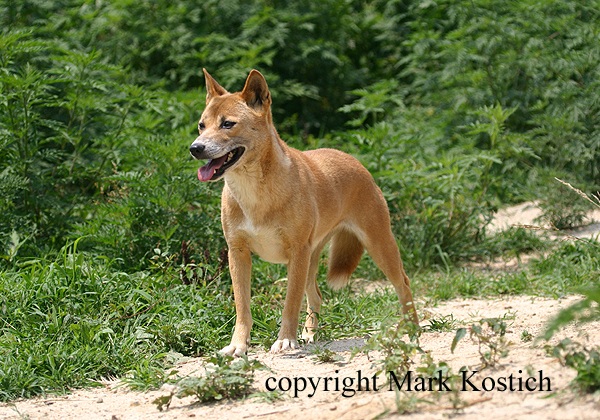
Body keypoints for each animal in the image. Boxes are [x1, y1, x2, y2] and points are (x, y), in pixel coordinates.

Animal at [189, 68, 418, 354]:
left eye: (228, 124)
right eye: (202, 125)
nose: (195, 148)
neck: (255, 192)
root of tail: (354, 161)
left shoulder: (296, 253)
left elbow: (291, 303)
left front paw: (285, 340)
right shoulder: (237, 253)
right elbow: (242, 308)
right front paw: (238, 345)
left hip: (378, 245)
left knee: (404, 284)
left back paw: (413, 330)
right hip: (313, 259)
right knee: (317, 296)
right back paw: (310, 335)